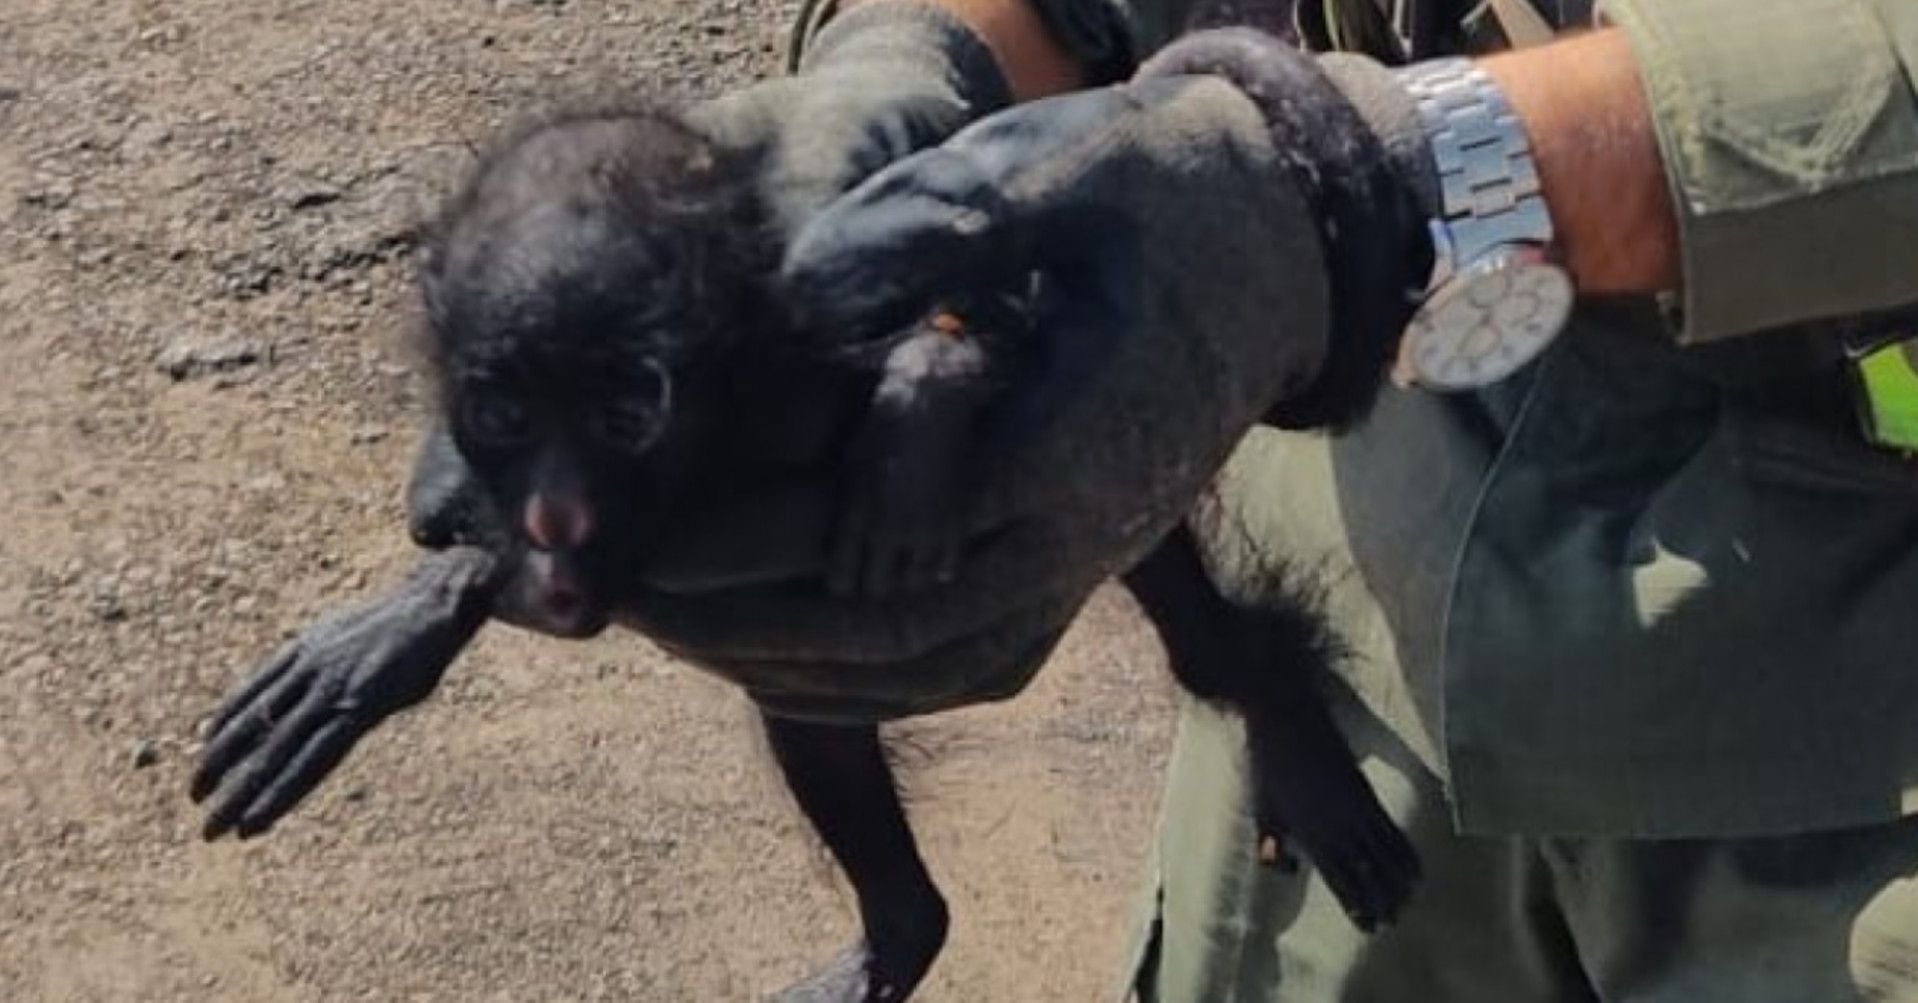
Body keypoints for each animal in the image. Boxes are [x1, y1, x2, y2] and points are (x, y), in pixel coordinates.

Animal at [194, 107, 1419, 1003]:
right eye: (502, 412)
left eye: (626, 409)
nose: (553, 510)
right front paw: (407, 618)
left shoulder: (815, 344)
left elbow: (989, 337)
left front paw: (915, 428)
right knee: (816, 722)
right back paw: (901, 931)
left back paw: (1268, 697)